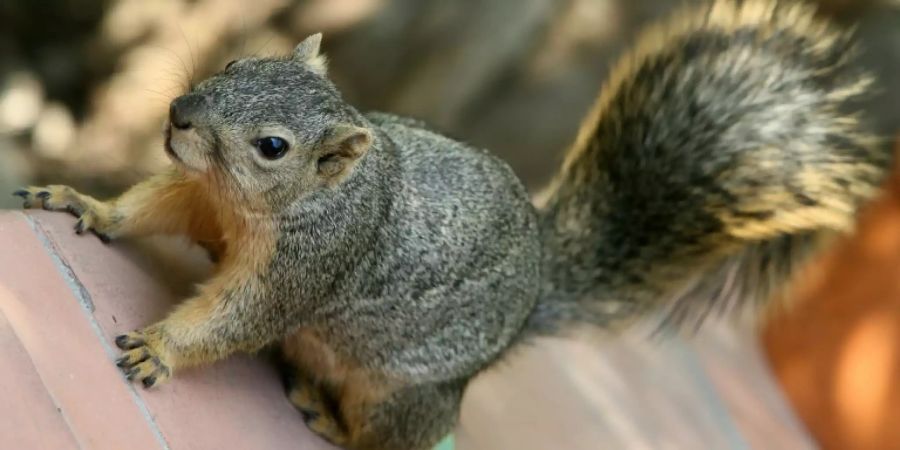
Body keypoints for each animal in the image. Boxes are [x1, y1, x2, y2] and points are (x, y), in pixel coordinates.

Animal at [10, 0, 888, 450]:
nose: (178, 114)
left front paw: (161, 349)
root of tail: (532, 300)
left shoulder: (306, 268)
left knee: (398, 439)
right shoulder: (202, 199)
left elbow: (236, 320)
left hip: (406, 397)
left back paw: (326, 415)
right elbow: (150, 205)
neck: (279, 203)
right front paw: (85, 204)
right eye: (238, 65)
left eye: (273, 147)